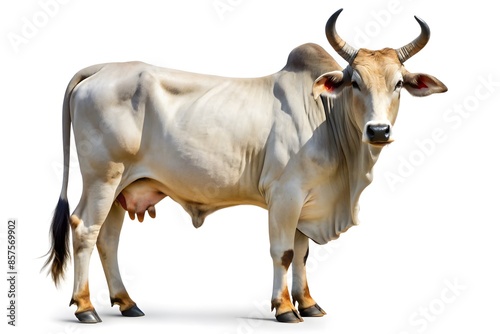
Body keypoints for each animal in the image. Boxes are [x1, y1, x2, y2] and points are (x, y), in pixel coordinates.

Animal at [45, 9, 448, 324]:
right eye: (355, 83)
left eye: (399, 84)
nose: (378, 130)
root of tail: (100, 69)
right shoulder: (285, 194)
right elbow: (283, 251)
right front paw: (284, 308)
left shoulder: (306, 200)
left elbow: (302, 251)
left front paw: (309, 303)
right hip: (103, 178)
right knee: (85, 229)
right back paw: (85, 307)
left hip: (122, 187)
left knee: (108, 238)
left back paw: (126, 302)